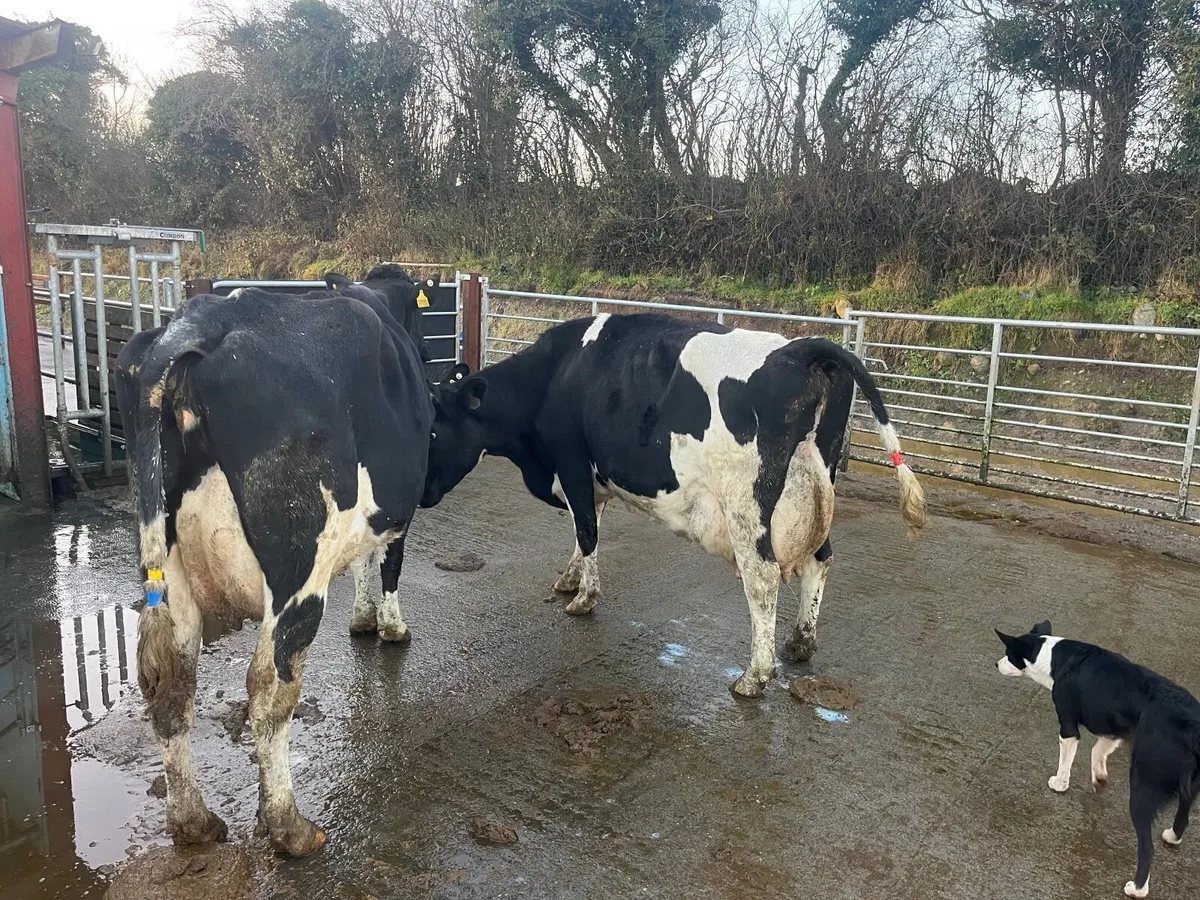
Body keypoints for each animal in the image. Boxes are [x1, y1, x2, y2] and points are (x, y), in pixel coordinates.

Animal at [114, 268, 432, 856]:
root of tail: (200, 321)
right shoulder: (398, 515)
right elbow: (387, 566)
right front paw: (390, 627)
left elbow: (363, 565)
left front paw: (363, 620)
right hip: (297, 572)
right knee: (269, 689)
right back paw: (289, 825)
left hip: (164, 567)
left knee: (170, 684)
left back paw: (193, 822)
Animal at [420, 313, 926, 698]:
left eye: (434, 430)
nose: (419, 493)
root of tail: (804, 349)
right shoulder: (588, 477)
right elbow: (587, 528)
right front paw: (569, 578)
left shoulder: (572, 462)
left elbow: (587, 530)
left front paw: (584, 598)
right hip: (817, 487)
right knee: (821, 559)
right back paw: (800, 643)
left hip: (747, 504)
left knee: (762, 577)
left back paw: (754, 676)